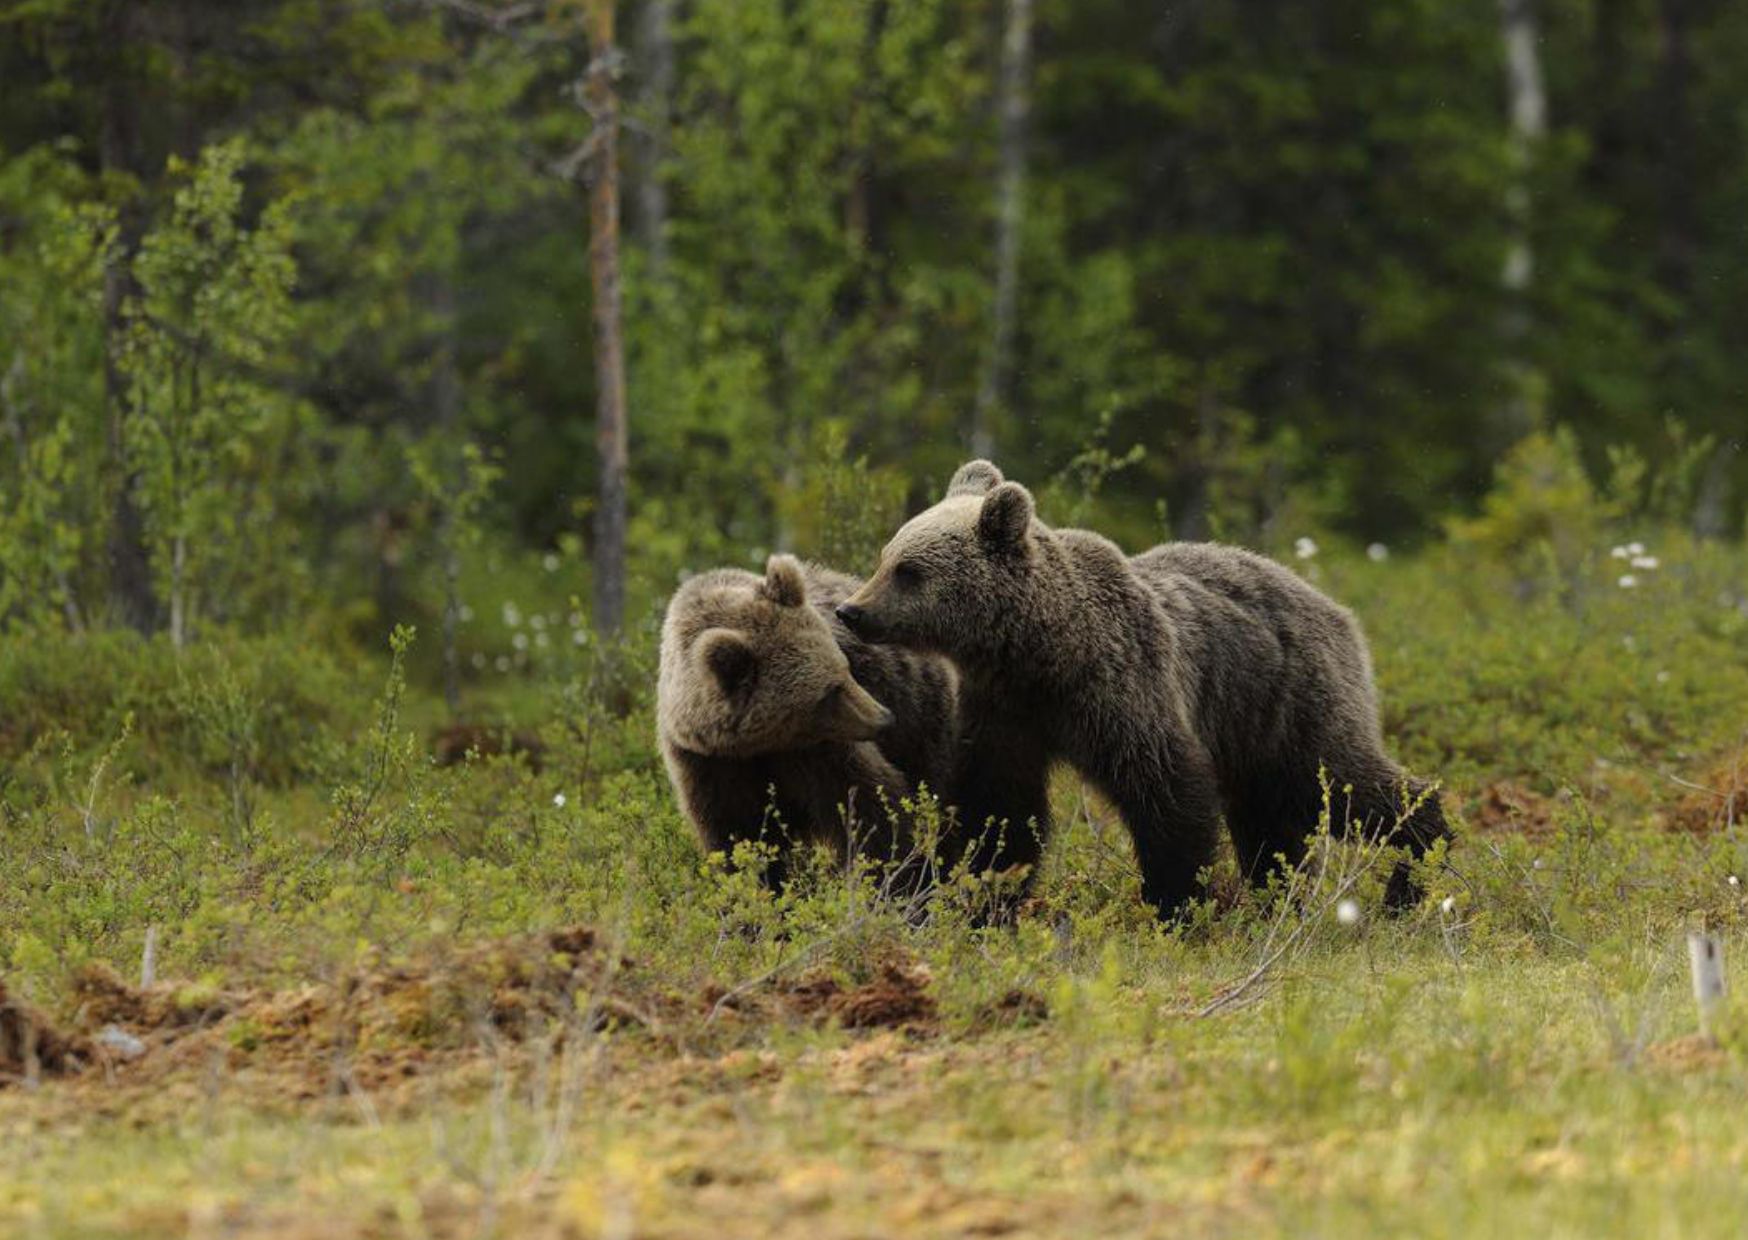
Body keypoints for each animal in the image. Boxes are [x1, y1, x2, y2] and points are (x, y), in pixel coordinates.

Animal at [658, 553, 962, 893]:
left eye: (846, 668)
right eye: (828, 693)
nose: (885, 719)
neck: (757, 744)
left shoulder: (817, 750)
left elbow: (867, 803)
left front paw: (895, 879)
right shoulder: (707, 763)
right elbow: (737, 833)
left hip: (924, 718)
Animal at [835, 460, 1450, 919]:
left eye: (909, 571)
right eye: (886, 556)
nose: (851, 611)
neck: (1038, 651)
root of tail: (1336, 608)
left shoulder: (1119, 688)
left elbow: (1166, 788)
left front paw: (1175, 903)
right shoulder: (1002, 712)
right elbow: (998, 808)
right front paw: (971, 894)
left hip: (1289, 696)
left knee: (1336, 780)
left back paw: (1416, 866)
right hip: (1253, 728)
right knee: (1271, 821)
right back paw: (1282, 896)